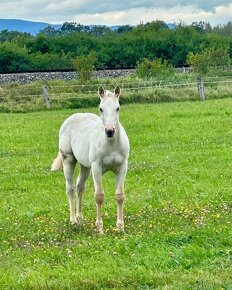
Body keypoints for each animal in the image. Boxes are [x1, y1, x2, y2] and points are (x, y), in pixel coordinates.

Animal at [51, 84, 130, 233]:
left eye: (118, 108)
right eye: (101, 108)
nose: (109, 131)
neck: (111, 144)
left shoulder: (122, 167)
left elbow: (120, 195)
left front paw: (120, 227)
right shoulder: (97, 167)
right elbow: (99, 196)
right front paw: (100, 228)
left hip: (85, 166)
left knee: (80, 187)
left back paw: (80, 218)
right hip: (68, 160)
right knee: (70, 188)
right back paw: (74, 220)